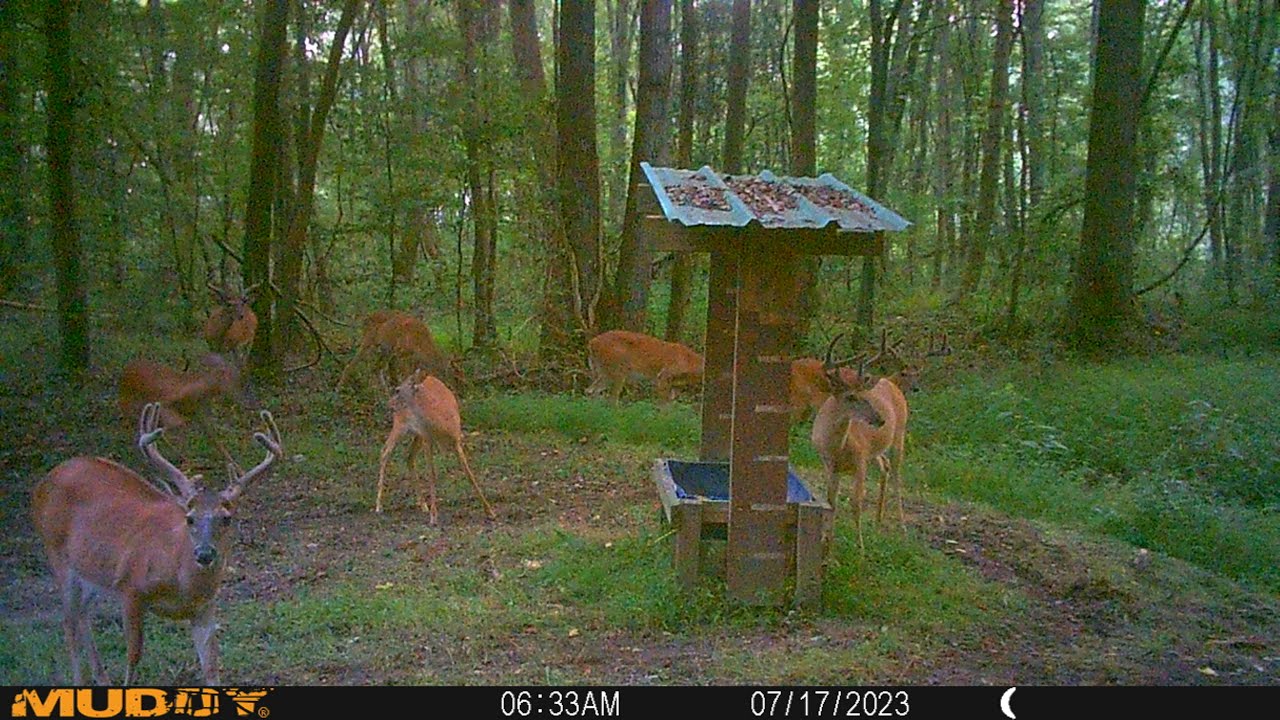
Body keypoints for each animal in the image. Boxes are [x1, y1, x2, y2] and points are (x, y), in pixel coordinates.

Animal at [31, 402, 283, 685]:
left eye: (226, 518)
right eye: (190, 518)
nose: (204, 553)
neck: (181, 581)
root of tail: (43, 483)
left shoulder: (204, 608)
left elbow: (211, 666)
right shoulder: (129, 587)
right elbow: (134, 655)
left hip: (90, 570)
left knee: (82, 615)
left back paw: (102, 680)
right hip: (57, 555)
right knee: (69, 623)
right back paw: (80, 681)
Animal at [118, 353, 258, 471]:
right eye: (235, 379)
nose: (250, 403)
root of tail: (127, 368)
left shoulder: (200, 417)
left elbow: (216, 442)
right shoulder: (166, 410)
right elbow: (169, 431)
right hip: (127, 404)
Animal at [377, 369, 497, 524]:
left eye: (397, 390)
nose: (388, 404)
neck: (441, 422)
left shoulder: (456, 439)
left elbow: (469, 474)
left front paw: (490, 512)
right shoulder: (428, 439)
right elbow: (431, 474)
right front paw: (433, 516)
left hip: (418, 434)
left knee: (409, 457)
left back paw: (423, 505)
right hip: (401, 425)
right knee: (385, 451)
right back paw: (378, 506)